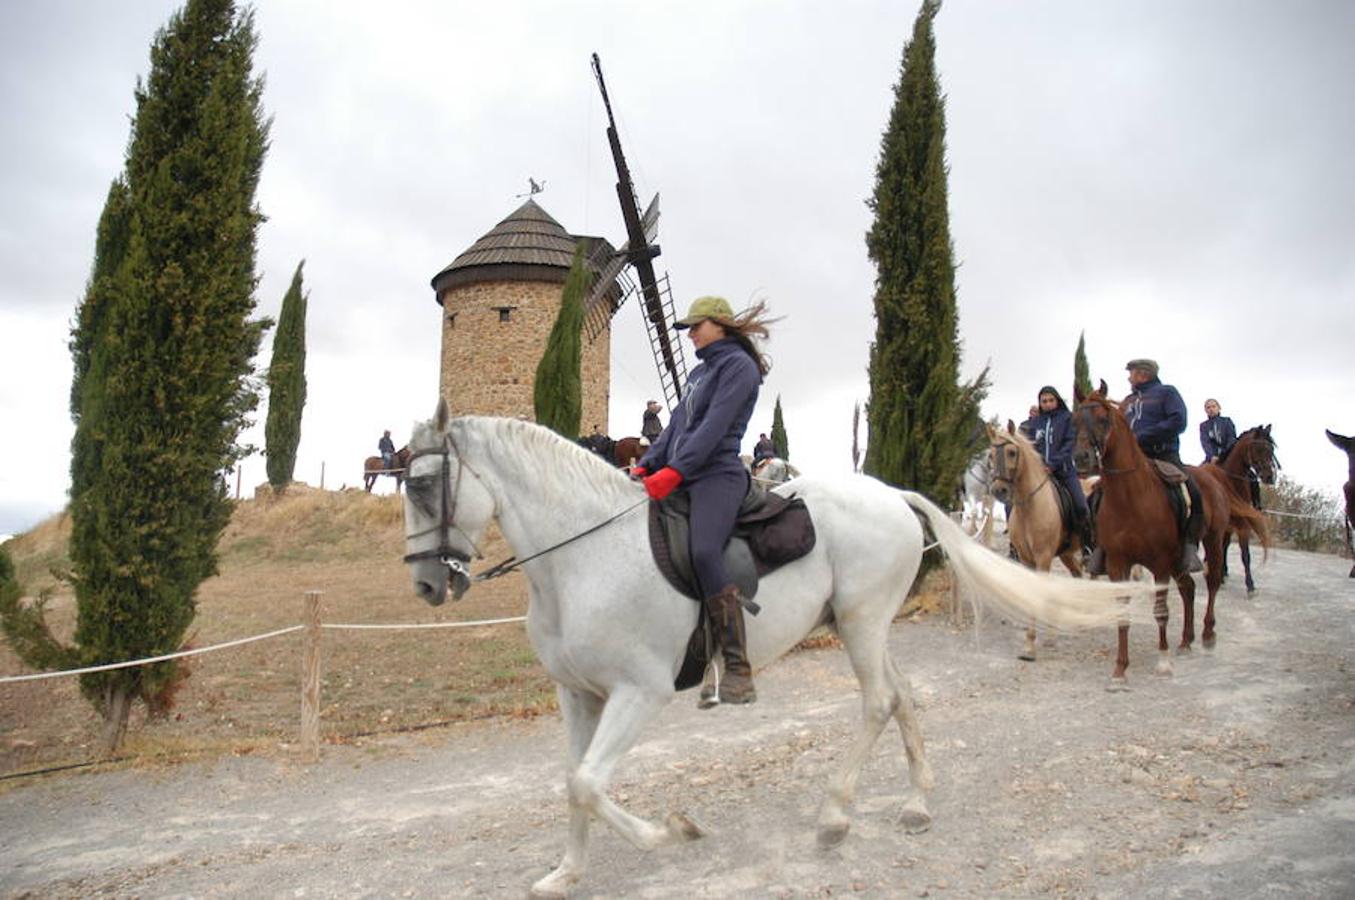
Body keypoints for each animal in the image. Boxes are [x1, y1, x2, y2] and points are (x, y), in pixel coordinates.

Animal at [986, 422, 1089, 661]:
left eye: (1012, 452)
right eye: (991, 454)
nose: (999, 490)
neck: (1030, 507)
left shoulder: (1043, 557)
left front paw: (1033, 645)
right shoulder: (1026, 559)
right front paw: (1034, 641)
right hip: (1067, 554)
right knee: (1078, 574)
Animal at [1073, 382, 1262, 685]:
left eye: (1103, 420)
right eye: (1074, 420)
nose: (1081, 459)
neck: (1130, 496)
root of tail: (1215, 477)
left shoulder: (1159, 563)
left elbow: (1161, 612)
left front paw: (1163, 661)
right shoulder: (1117, 564)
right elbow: (1123, 613)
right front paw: (1120, 669)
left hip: (1212, 540)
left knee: (1211, 582)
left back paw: (1207, 634)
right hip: (1179, 558)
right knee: (1189, 588)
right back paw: (1186, 640)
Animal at [1214, 425, 1273, 593]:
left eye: (1271, 449)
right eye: (1259, 448)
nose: (1269, 477)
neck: (1231, 482)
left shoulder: (1242, 523)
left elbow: (1245, 554)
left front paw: (1250, 585)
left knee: (1225, 544)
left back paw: (1223, 572)